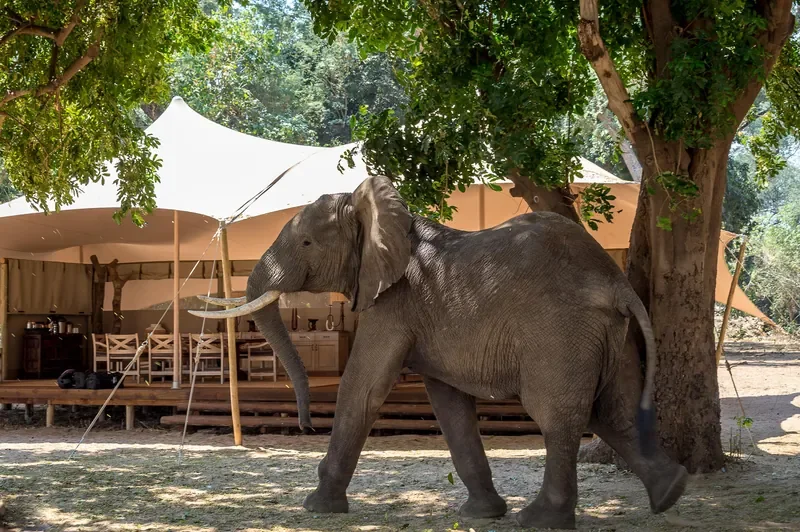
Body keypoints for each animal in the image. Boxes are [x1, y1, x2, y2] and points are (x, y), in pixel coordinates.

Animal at [192, 175, 688, 529]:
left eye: (308, 243)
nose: (305, 425)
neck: (376, 212)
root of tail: (616, 282)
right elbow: (448, 404)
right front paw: (481, 515)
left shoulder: (393, 304)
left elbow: (363, 388)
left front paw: (316, 507)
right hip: (610, 334)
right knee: (615, 411)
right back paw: (671, 493)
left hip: (561, 331)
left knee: (558, 415)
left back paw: (540, 519)